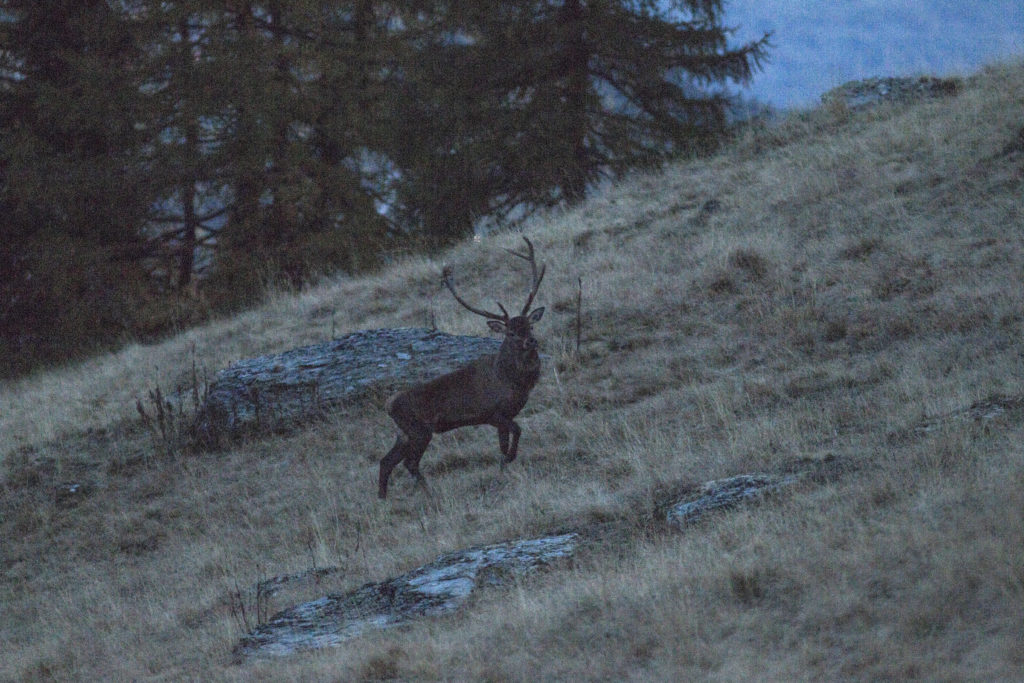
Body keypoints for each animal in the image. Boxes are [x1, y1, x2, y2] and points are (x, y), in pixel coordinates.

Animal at [378, 237, 544, 499]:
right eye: (510, 332)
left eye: (530, 325)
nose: (531, 341)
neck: (511, 381)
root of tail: (388, 404)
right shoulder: (492, 412)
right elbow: (516, 432)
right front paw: (509, 460)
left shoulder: (505, 416)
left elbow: (503, 444)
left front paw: (504, 468)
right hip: (418, 430)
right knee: (409, 463)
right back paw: (428, 493)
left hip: (403, 433)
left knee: (386, 462)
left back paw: (384, 499)